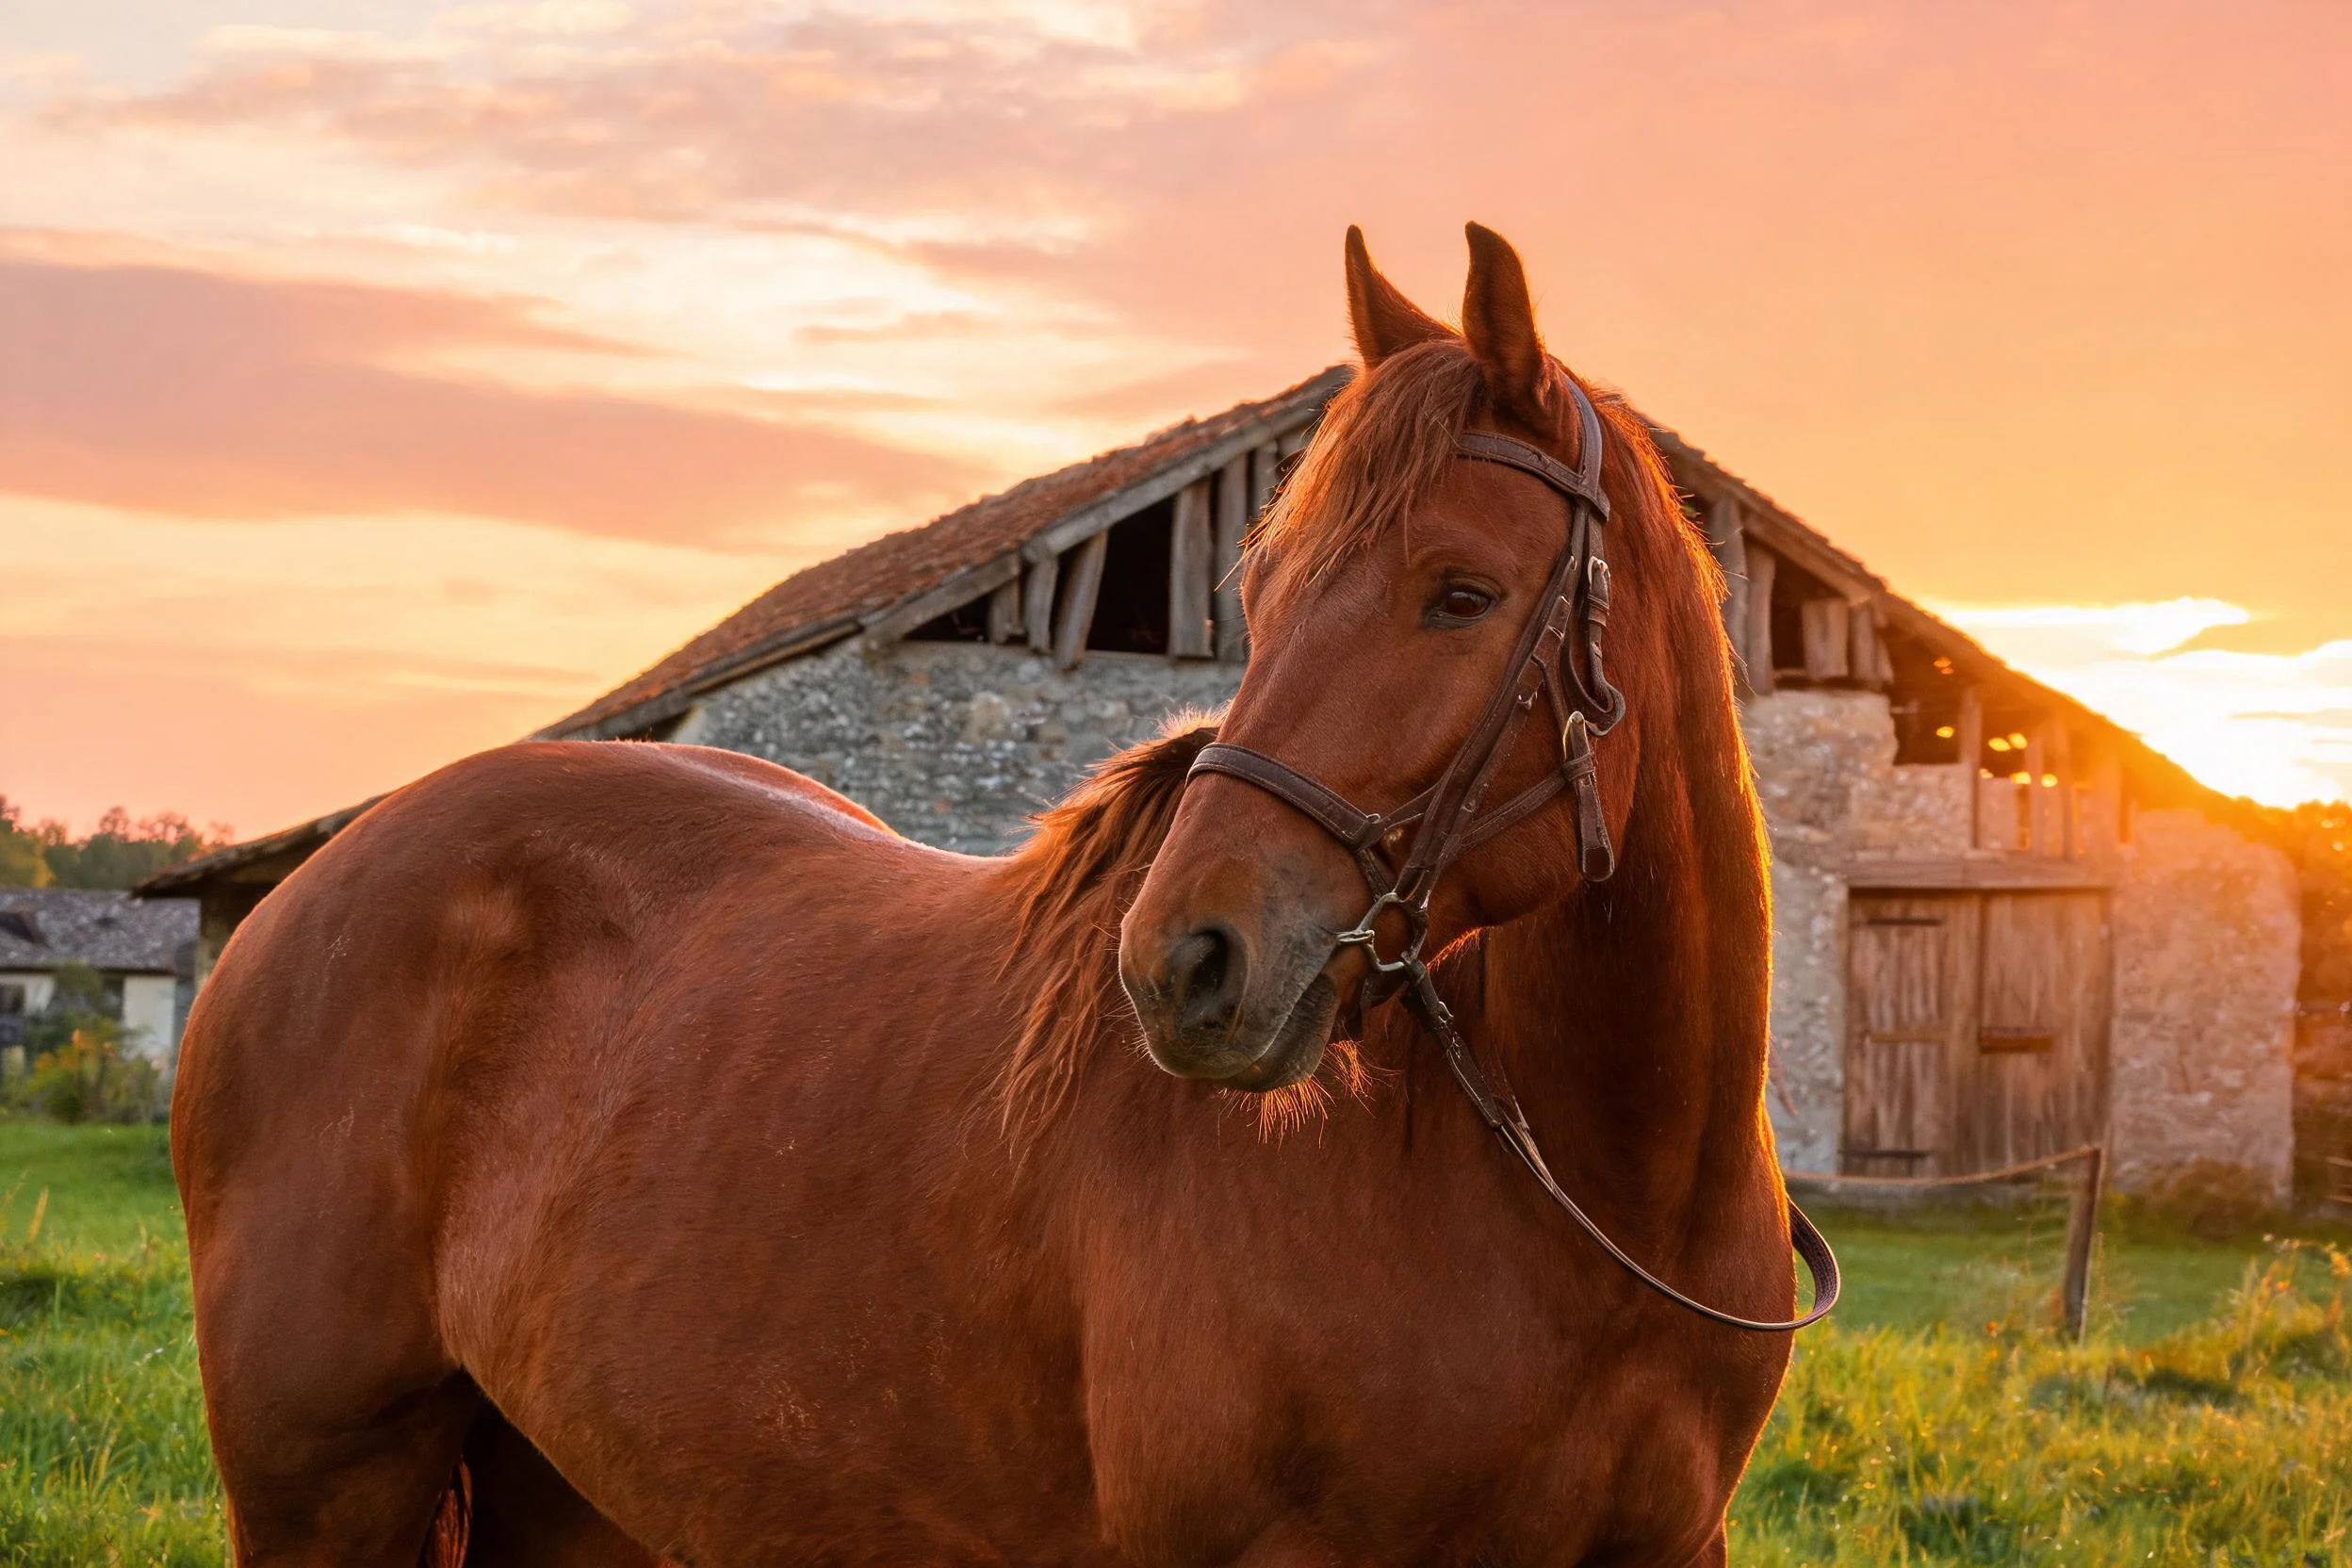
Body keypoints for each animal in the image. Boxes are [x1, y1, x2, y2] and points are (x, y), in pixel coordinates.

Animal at [173, 223, 1810, 1568]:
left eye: (1460, 595)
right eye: (1256, 596)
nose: (1183, 967)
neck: (1601, 1200)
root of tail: (314, 887)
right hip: (323, 1490)